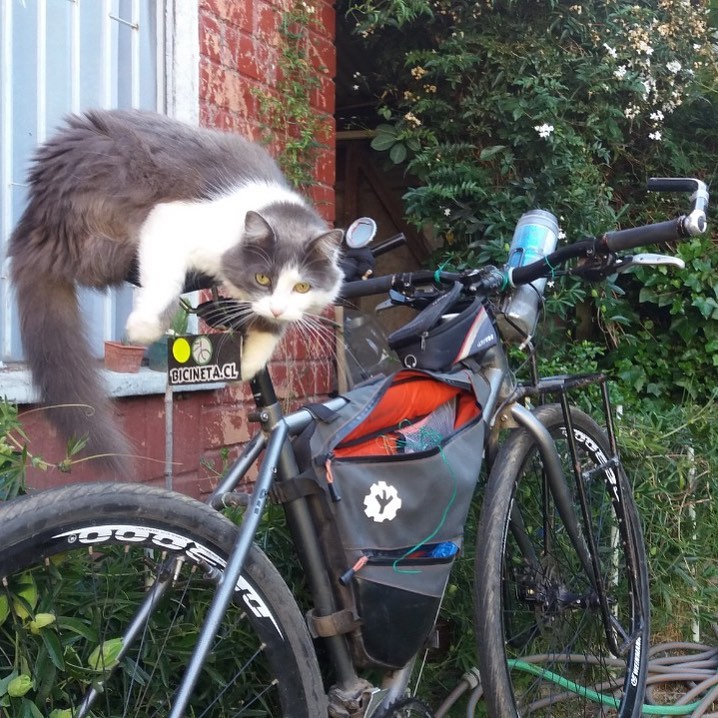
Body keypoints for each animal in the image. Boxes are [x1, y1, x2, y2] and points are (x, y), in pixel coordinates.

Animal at [8, 109, 346, 476]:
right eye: (262, 277)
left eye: (302, 287)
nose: (277, 307)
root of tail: (36, 220)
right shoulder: (170, 221)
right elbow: (166, 279)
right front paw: (143, 328)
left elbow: (270, 330)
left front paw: (248, 362)